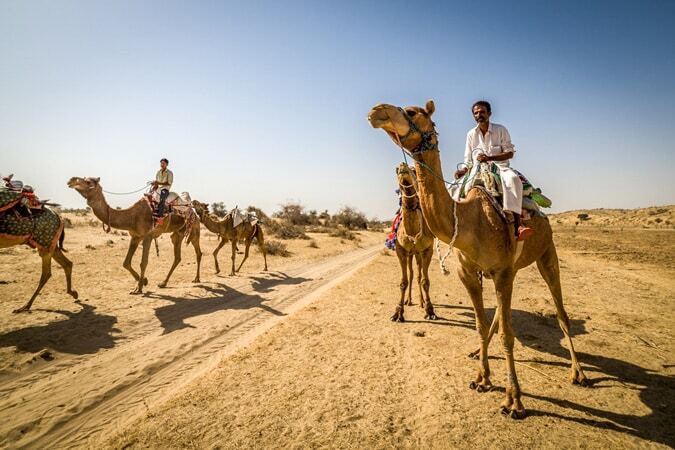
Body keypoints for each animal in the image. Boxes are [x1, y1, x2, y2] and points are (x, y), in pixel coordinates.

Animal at [67, 178, 202, 294]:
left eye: (88, 181)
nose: (71, 180)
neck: (132, 216)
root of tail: (192, 211)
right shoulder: (135, 236)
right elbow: (126, 262)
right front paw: (143, 282)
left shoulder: (148, 236)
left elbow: (143, 262)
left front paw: (139, 288)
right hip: (177, 234)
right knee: (178, 256)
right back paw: (163, 283)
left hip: (194, 230)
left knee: (197, 252)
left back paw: (196, 279)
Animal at [390, 163, 438, 322]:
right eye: (396, 170)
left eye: (414, 170)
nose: (402, 165)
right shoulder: (400, 250)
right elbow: (403, 281)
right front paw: (398, 312)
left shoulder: (427, 250)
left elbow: (425, 281)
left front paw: (430, 310)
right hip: (411, 254)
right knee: (411, 274)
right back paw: (409, 300)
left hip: (417, 254)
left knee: (417, 275)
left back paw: (421, 302)